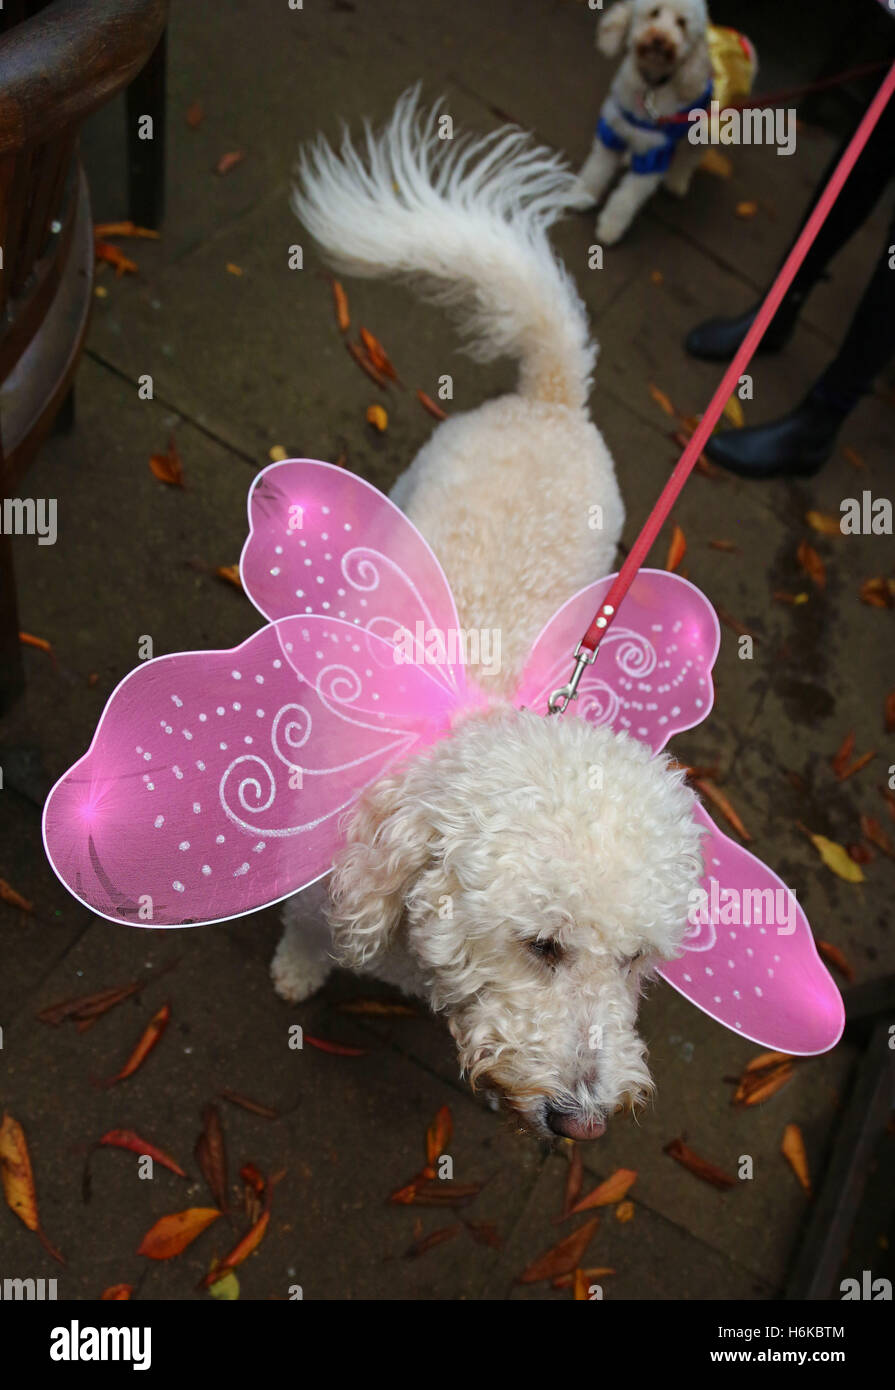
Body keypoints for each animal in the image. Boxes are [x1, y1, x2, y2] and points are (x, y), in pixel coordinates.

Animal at [272, 95, 705, 1139]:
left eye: (636, 958)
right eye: (542, 945)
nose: (585, 1123)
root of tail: (551, 399)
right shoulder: (318, 884)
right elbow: (307, 938)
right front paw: (296, 976)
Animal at [572, 0, 711, 244]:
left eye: (681, 23)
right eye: (654, 12)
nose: (660, 39)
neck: (650, 87)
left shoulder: (653, 156)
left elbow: (627, 197)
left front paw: (610, 227)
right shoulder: (613, 133)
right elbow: (596, 171)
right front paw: (582, 195)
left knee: (688, 157)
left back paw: (676, 181)